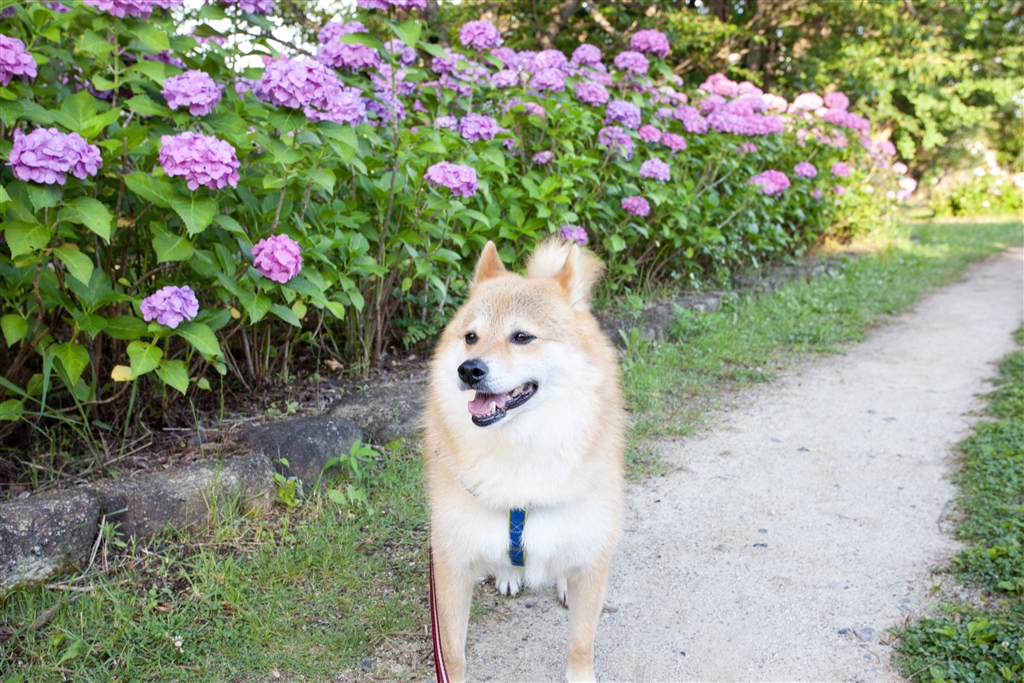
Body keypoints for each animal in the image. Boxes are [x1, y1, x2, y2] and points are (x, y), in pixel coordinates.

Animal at [421, 237, 626, 679]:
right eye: (471, 336)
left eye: (522, 336)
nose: (469, 369)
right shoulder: (450, 564)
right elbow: (453, 654)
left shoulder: (592, 555)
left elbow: (581, 644)